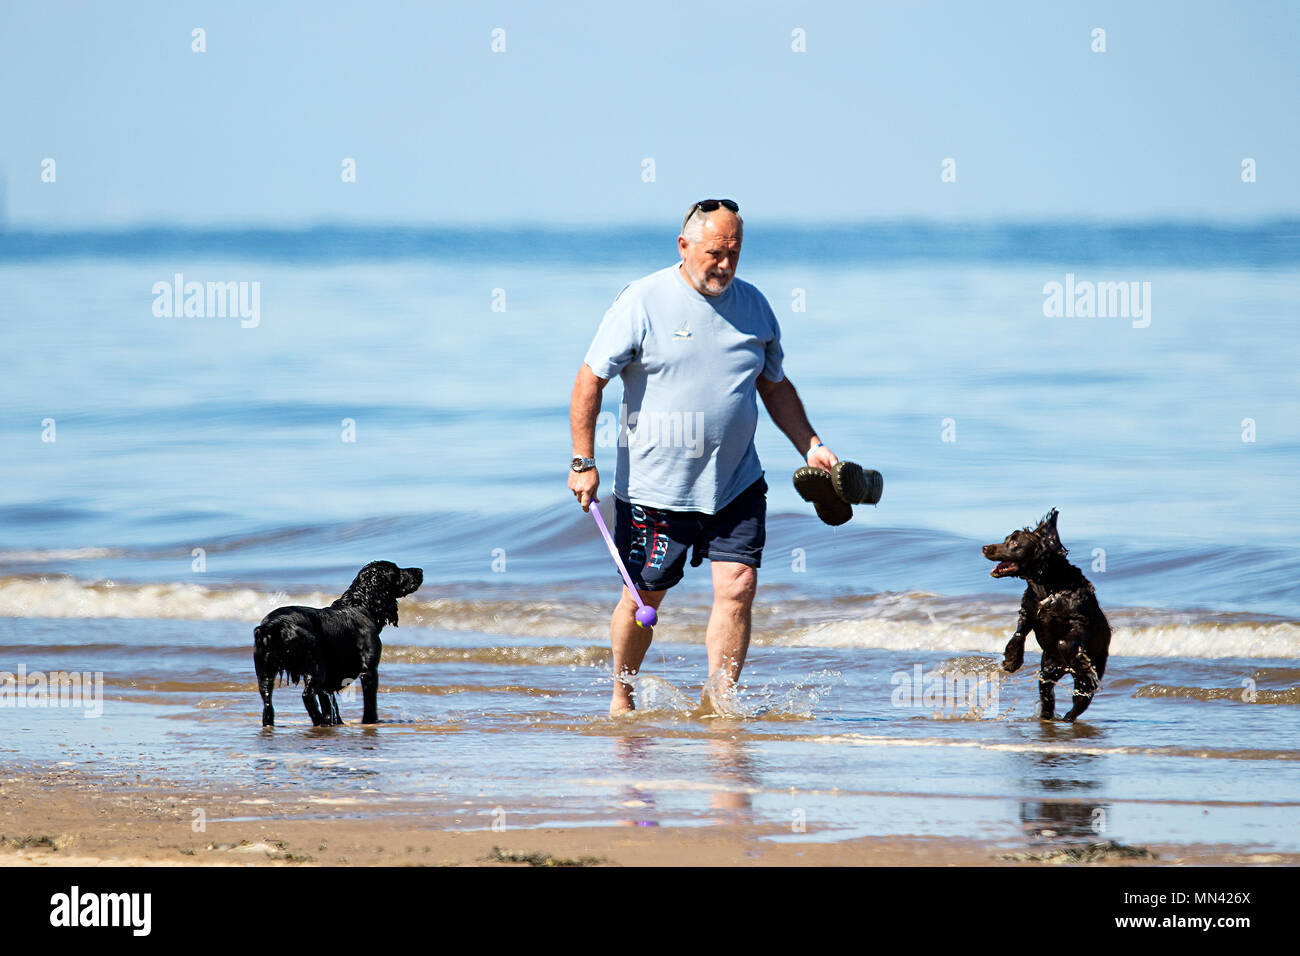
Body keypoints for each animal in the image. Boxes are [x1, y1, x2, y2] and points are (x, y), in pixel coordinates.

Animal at [249, 561, 421, 723]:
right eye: (396, 571)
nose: (420, 570)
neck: (361, 606)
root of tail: (273, 626)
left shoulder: (328, 679)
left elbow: (329, 705)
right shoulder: (369, 671)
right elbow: (369, 704)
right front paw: (370, 721)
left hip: (265, 672)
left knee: (268, 704)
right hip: (315, 668)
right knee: (307, 696)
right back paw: (319, 722)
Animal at [982, 512, 1107, 723]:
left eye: (1014, 542)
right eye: (1007, 539)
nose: (985, 547)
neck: (1047, 587)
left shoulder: (1078, 621)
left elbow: (1065, 642)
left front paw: (1080, 663)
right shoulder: (1028, 611)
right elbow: (1019, 633)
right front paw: (1011, 660)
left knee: (1082, 697)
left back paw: (1069, 712)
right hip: (1047, 672)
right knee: (1048, 695)